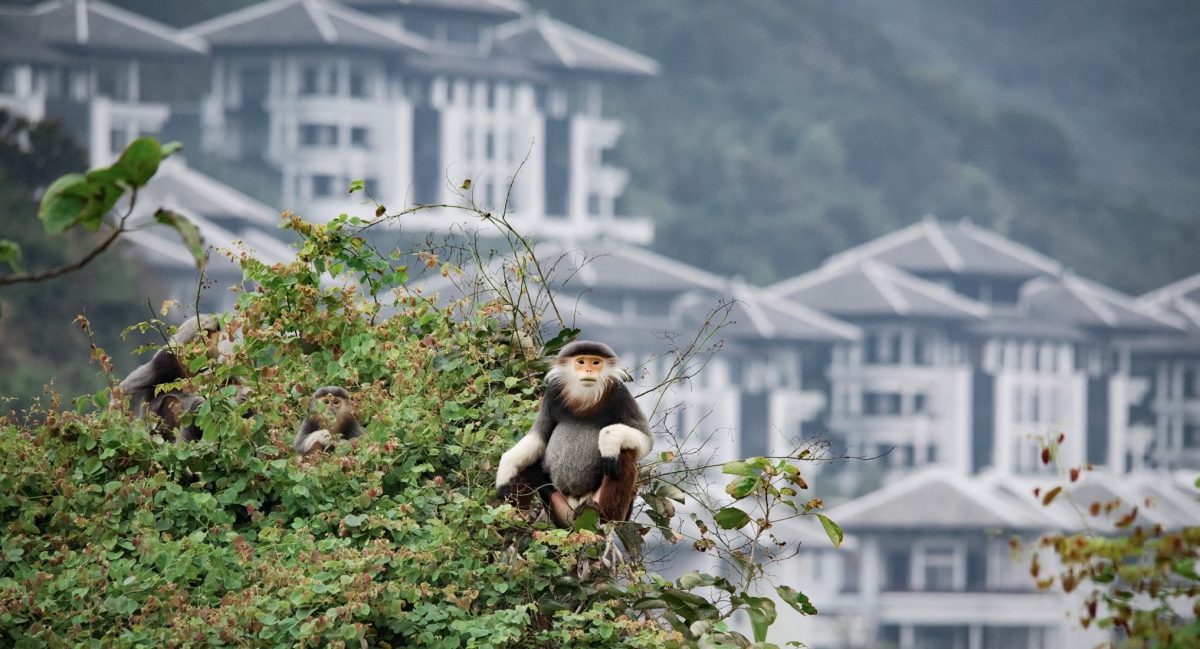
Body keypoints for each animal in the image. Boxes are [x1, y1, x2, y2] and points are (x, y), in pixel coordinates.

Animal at [495, 340, 653, 527]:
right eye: (581, 362)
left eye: (596, 362)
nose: (589, 371)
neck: (585, 398)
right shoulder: (552, 394)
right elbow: (538, 439)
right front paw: (505, 470)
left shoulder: (620, 393)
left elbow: (646, 439)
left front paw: (608, 441)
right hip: (558, 509)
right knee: (525, 466)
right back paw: (517, 518)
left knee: (623, 453)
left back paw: (605, 516)